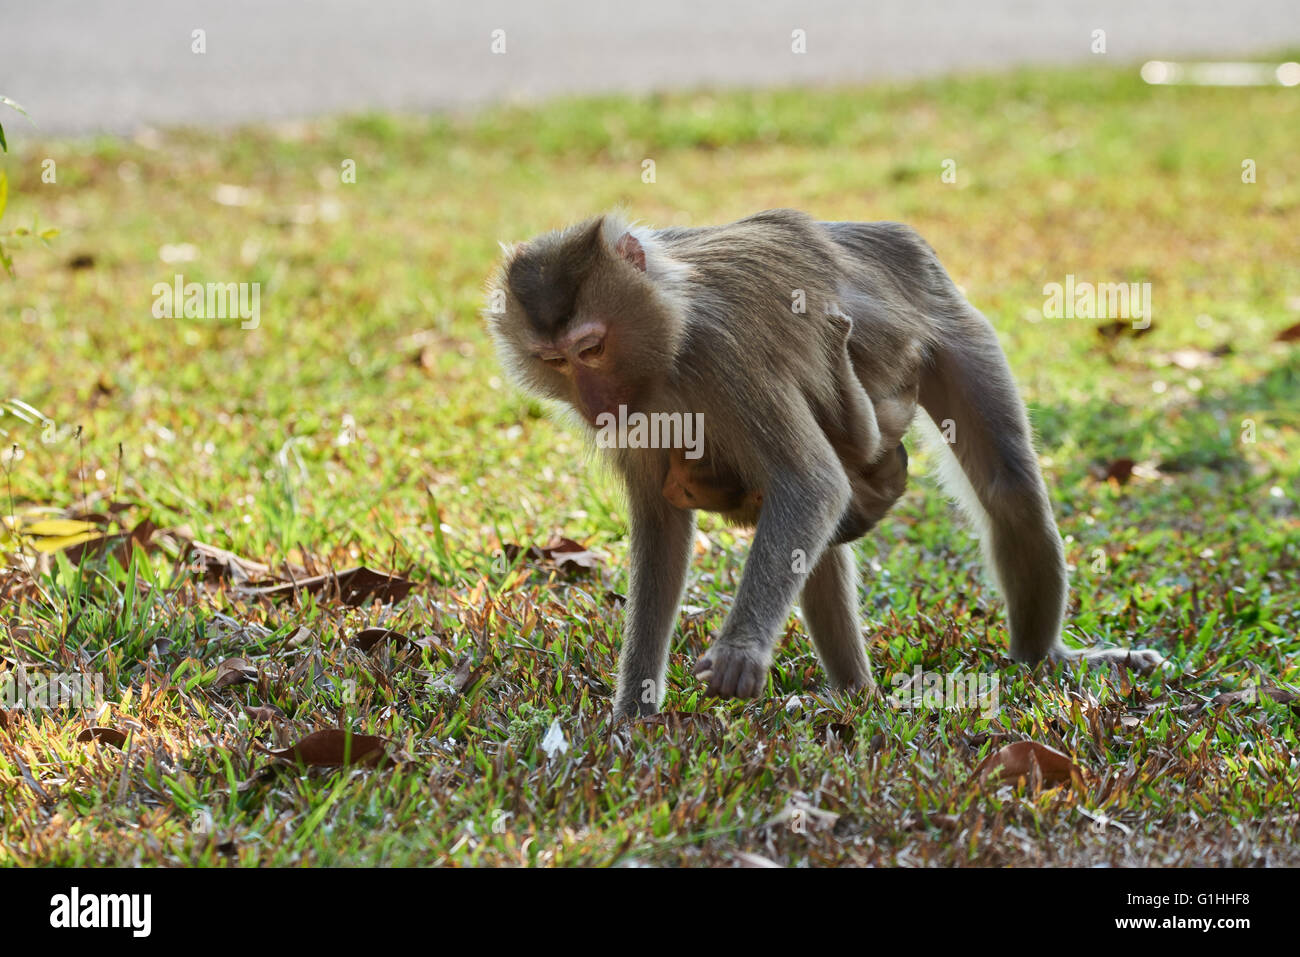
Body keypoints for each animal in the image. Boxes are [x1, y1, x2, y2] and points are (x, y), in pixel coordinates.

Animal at [488, 209, 1168, 718]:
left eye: (591, 348)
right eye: (554, 361)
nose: (595, 405)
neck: (672, 331)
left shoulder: (725, 356)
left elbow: (809, 484)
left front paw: (739, 651)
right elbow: (663, 530)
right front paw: (633, 710)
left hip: (955, 326)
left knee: (1007, 493)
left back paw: (1043, 659)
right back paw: (857, 696)